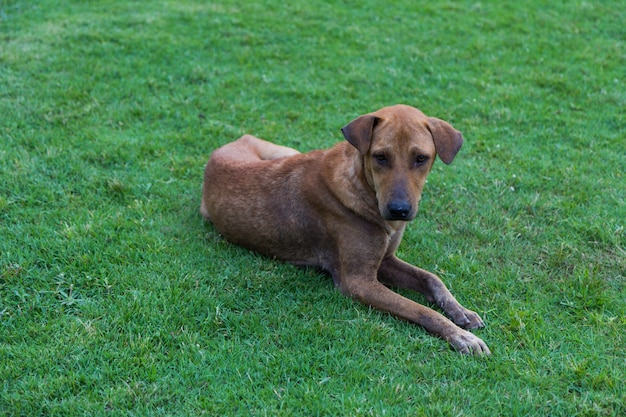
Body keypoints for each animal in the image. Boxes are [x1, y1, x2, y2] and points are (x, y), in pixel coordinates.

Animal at [200, 105, 488, 354]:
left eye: (421, 158)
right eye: (380, 157)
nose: (399, 210)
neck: (363, 187)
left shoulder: (385, 259)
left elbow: (432, 278)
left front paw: (460, 311)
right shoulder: (358, 281)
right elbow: (419, 309)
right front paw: (460, 336)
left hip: (287, 152)